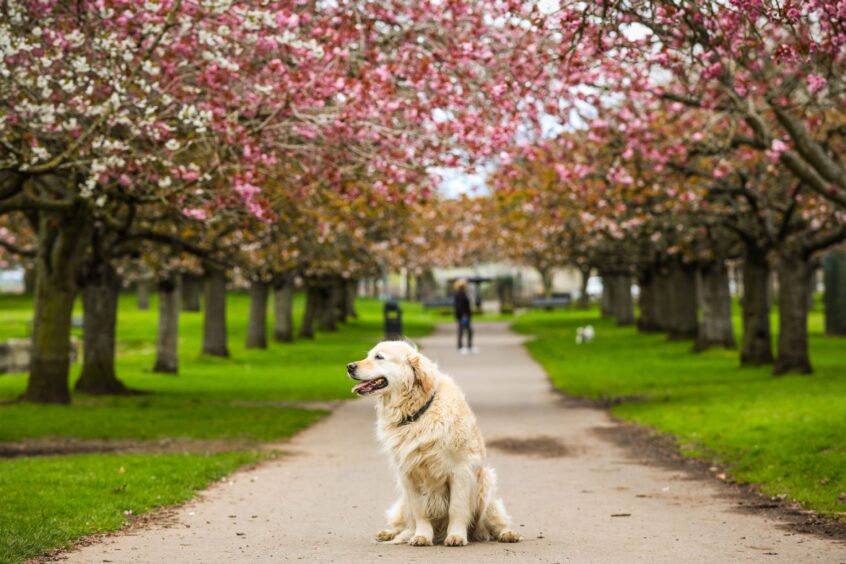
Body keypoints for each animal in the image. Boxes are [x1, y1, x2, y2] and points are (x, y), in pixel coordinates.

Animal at [346, 340, 524, 548]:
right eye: (368, 355)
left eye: (379, 357)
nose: (349, 366)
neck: (416, 413)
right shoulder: (409, 474)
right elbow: (420, 512)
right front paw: (421, 536)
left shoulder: (460, 471)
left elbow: (456, 508)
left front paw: (456, 536)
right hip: (403, 501)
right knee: (402, 522)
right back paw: (387, 533)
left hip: (486, 487)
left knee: (495, 522)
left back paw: (508, 534)